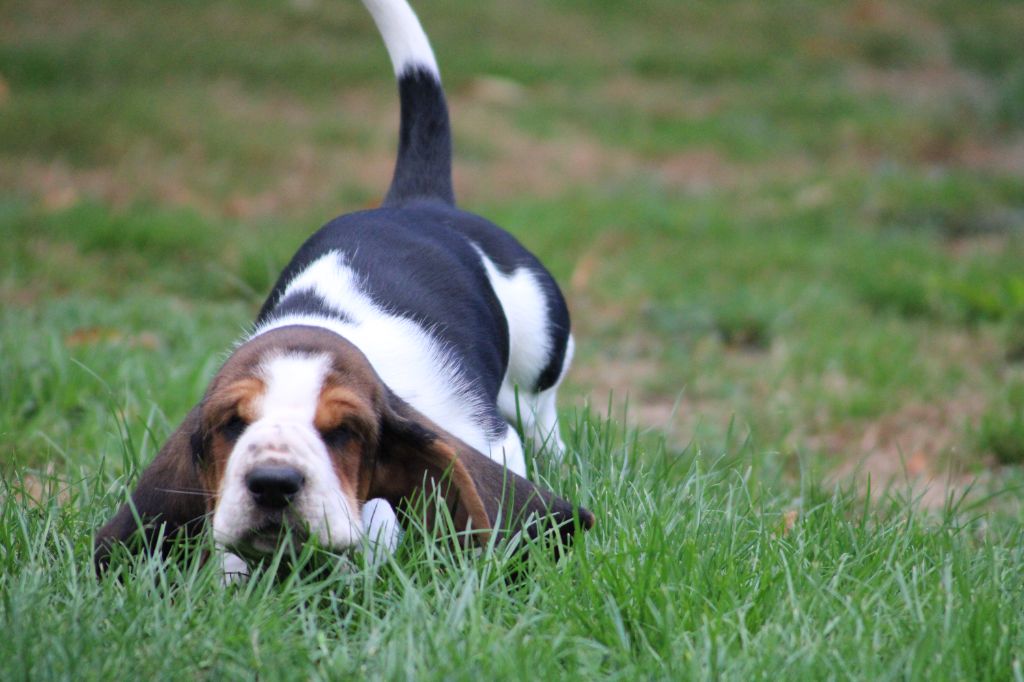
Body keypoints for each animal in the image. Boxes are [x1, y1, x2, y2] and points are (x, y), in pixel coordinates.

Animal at [94, 0, 594, 573]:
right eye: (232, 426)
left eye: (342, 433)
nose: (272, 483)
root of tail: (415, 200)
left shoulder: (489, 441)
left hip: (538, 351)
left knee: (542, 411)